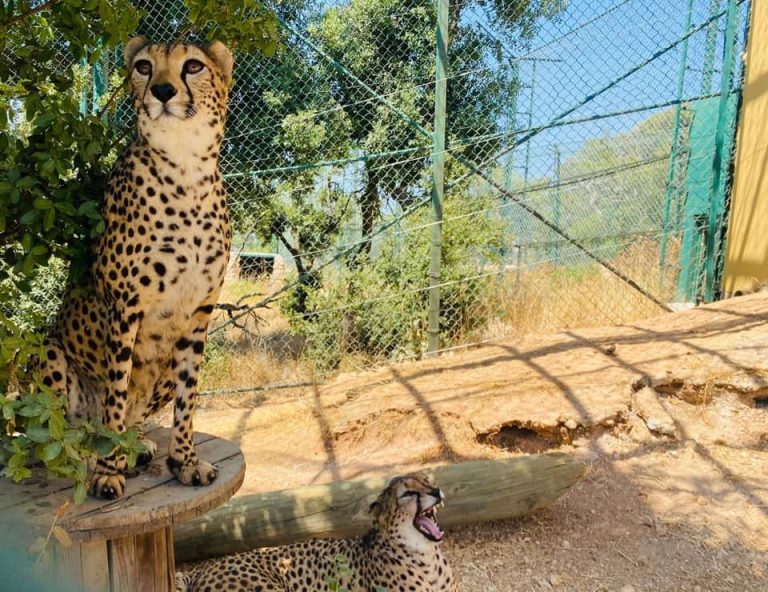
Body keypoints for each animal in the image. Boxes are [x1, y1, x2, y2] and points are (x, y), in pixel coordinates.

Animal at [36, 36, 234, 499]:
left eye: (193, 66)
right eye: (144, 67)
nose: (162, 90)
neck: (186, 169)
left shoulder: (198, 313)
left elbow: (188, 398)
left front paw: (185, 461)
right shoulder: (125, 308)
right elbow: (116, 391)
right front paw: (109, 470)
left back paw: (137, 444)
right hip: (47, 350)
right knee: (64, 437)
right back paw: (93, 452)